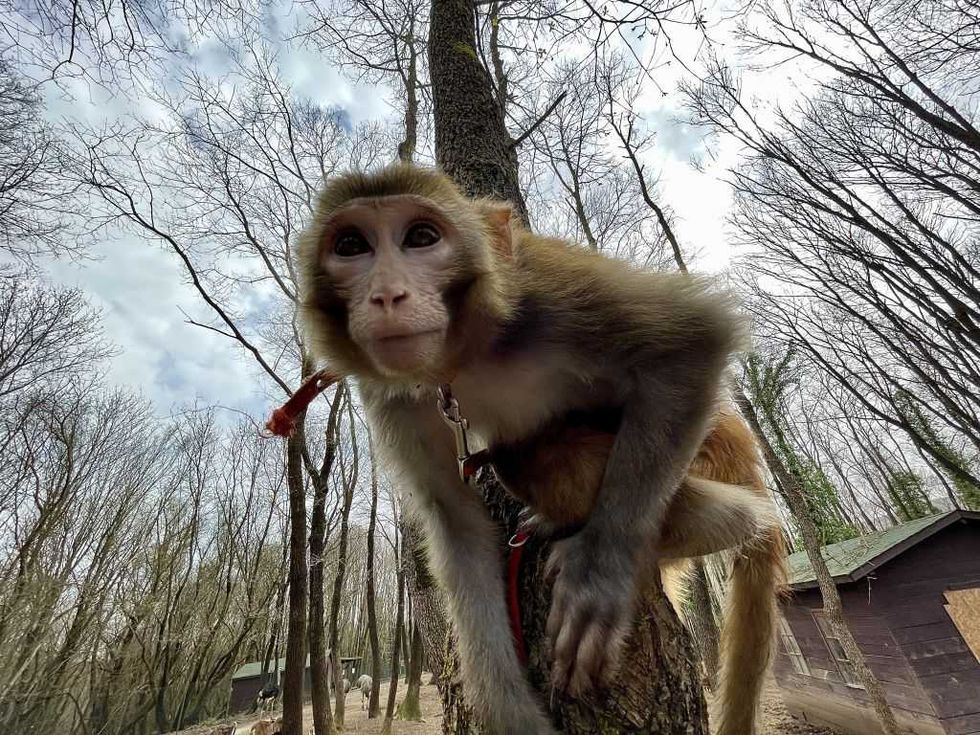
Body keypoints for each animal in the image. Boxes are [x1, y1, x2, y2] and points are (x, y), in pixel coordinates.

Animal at [295, 163, 785, 734]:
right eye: (351, 245)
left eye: (421, 237)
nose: (386, 295)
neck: (466, 355)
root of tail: (739, 438)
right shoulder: (390, 395)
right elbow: (455, 518)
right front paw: (509, 708)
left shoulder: (549, 294)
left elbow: (695, 338)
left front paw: (599, 574)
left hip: (703, 446)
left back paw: (724, 524)